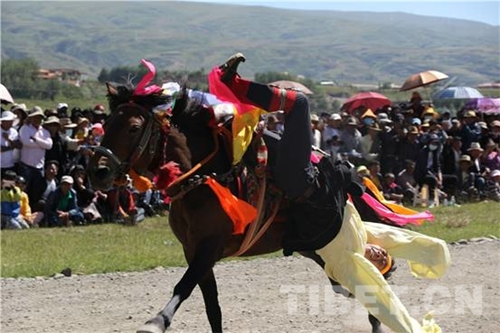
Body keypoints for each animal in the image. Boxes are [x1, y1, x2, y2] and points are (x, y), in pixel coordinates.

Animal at [88, 80, 386, 332]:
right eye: (108, 123)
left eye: (133, 127)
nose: (98, 172)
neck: (205, 179)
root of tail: (358, 180)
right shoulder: (192, 249)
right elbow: (212, 308)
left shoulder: (210, 247)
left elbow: (184, 286)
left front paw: (156, 321)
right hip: (316, 247)